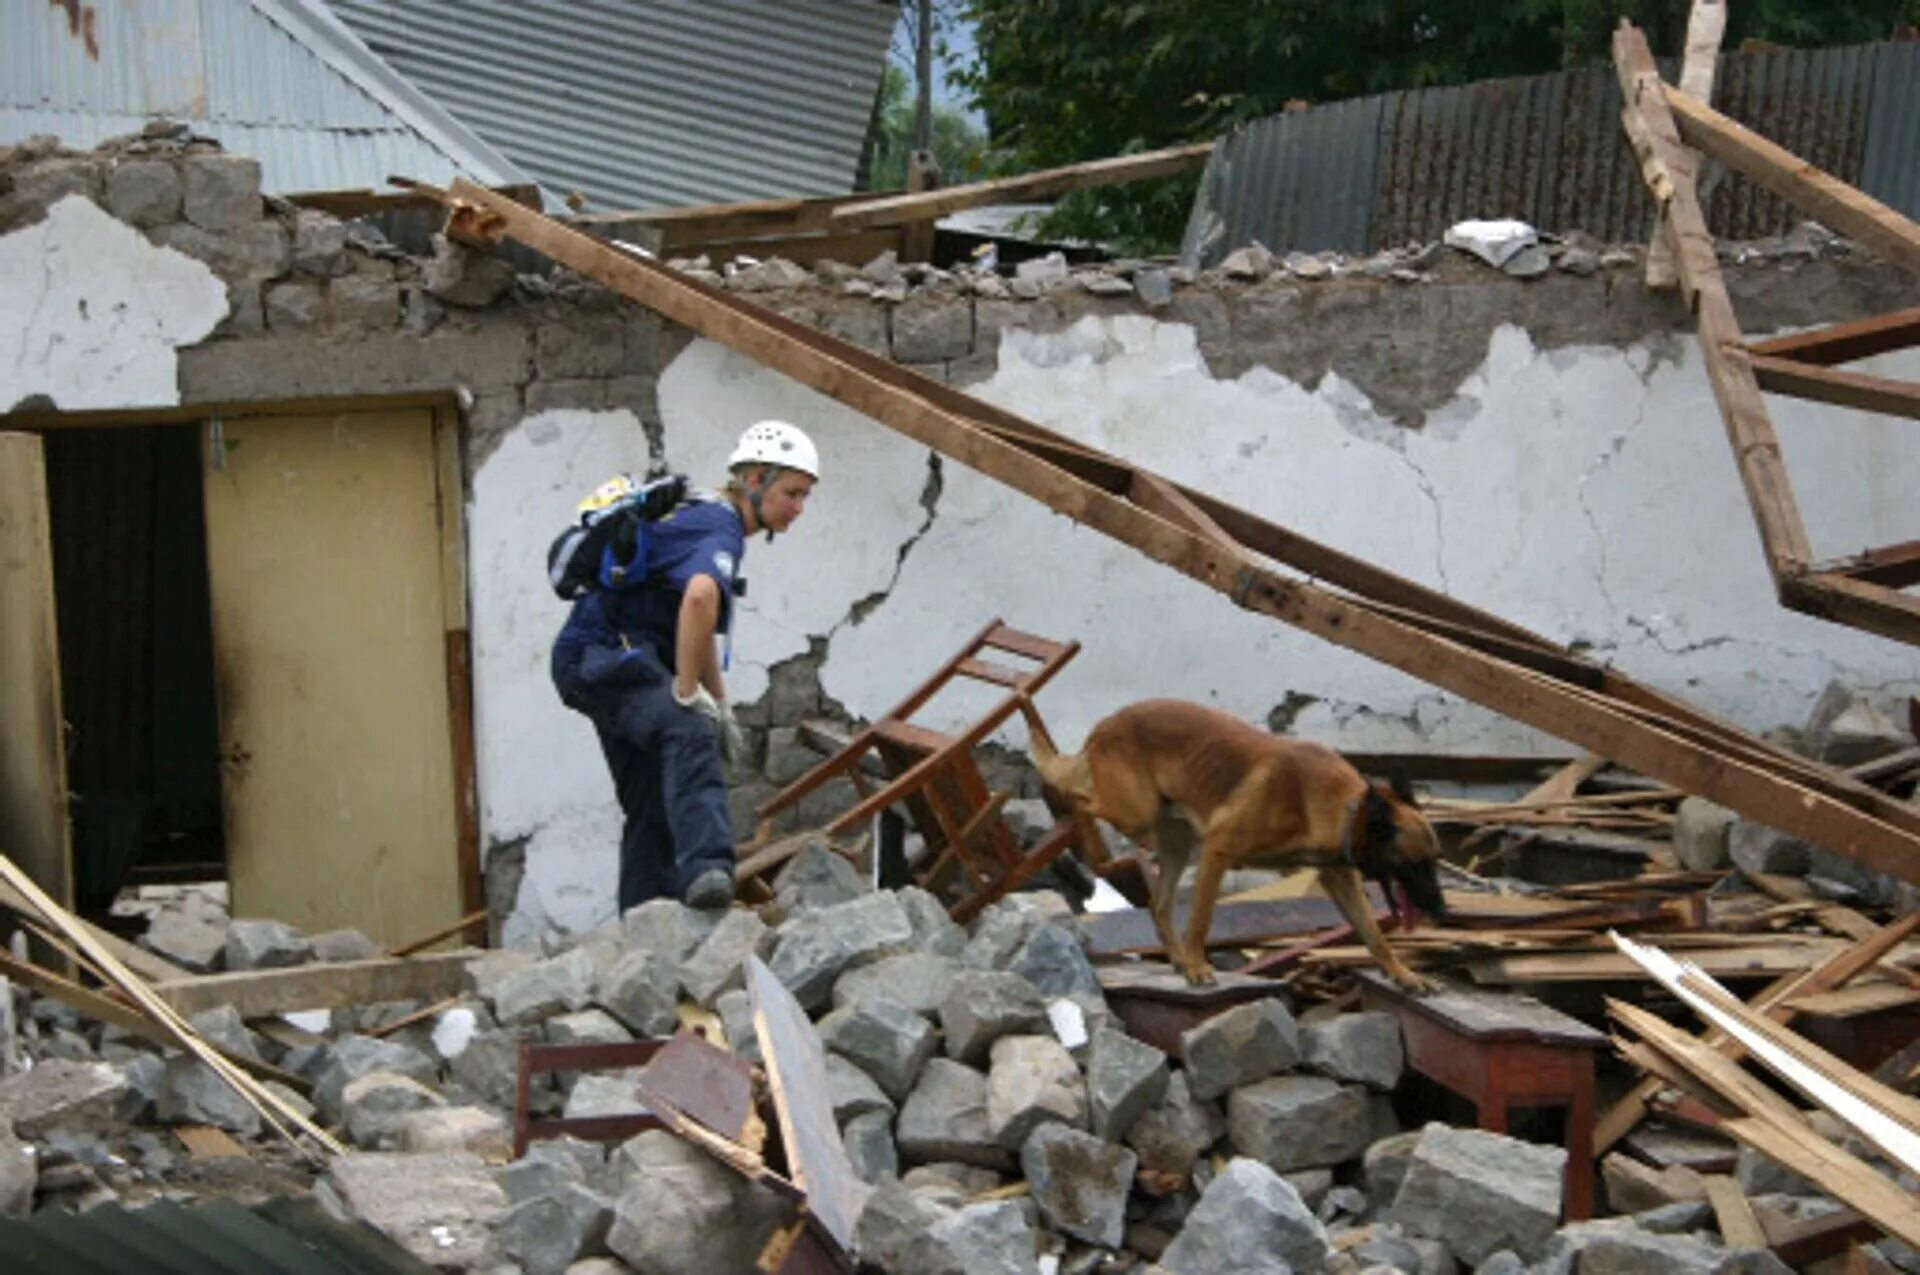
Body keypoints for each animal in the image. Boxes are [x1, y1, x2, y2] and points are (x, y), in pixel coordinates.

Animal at [1021, 702, 1443, 990]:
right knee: (1079, 799)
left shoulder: (1339, 879)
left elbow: (1374, 934)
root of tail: (1105, 724)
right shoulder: (1217, 851)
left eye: (1435, 862)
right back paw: (1093, 847)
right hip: (1133, 812)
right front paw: (1198, 966)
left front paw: (1403, 974)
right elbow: (1201, 920)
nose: (1442, 911)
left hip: (1174, 842)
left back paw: (1175, 958)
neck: (1345, 808)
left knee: (1159, 904)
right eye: (1415, 864)